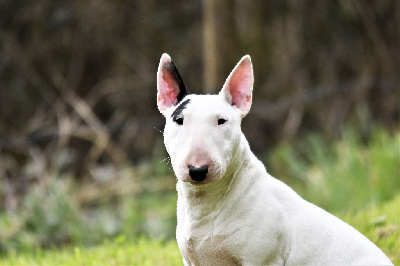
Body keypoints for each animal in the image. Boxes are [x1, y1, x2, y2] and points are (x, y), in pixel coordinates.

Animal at [155, 53, 390, 264]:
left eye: (222, 121)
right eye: (179, 120)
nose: (198, 170)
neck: (207, 204)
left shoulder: (262, 259)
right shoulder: (191, 259)